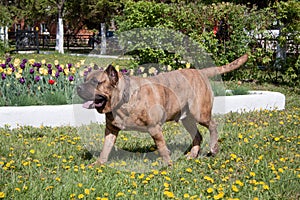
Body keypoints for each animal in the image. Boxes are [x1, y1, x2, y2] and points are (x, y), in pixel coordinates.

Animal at [77, 53, 248, 166]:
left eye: (95, 82)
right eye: (85, 79)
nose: (78, 87)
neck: (123, 101)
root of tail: (200, 72)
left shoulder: (154, 128)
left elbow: (162, 147)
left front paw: (168, 165)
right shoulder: (111, 130)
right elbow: (106, 148)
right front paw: (98, 164)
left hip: (200, 113)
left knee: (213, 125)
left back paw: (213, 148)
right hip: (187, 119)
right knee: (197, 136)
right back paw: (192, 155)